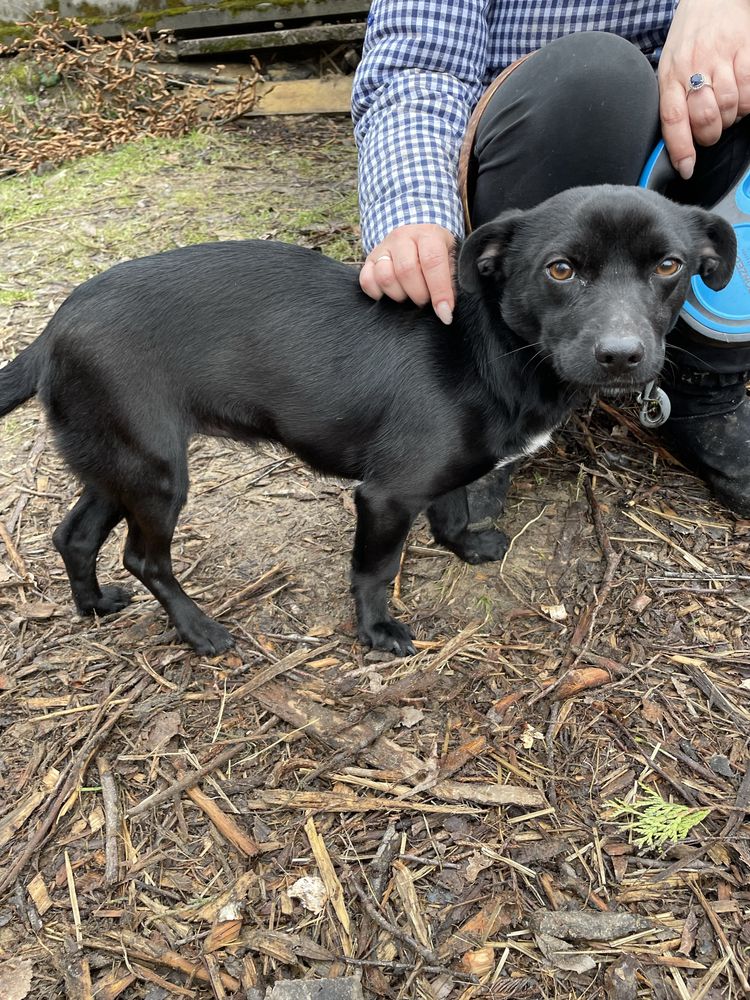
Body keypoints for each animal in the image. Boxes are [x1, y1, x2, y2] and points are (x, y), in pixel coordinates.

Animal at [0, 187, 736, 656]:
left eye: (669, 266)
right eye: (560, 270)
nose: (622, 355)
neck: (492, 350)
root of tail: (57, 324)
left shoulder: (441, 480)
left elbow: (452, 513)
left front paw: (467, 547)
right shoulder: (385, 497)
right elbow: (375, 572)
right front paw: (377, 633)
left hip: (119, 460)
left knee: (74, 536)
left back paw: (93, 605)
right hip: (157, 474)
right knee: (143, 557)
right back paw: (198, 630)